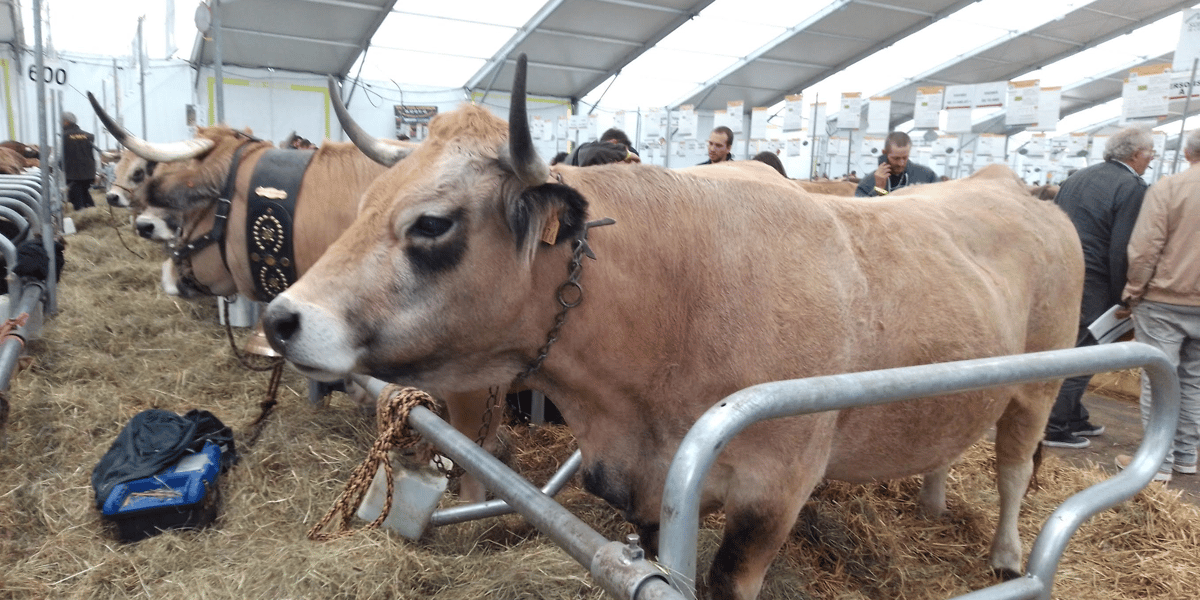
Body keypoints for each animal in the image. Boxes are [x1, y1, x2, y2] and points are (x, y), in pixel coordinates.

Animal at [261, 55, 1084, 599]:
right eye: (367, 202)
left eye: (432, 223)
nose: (281, 317)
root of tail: (1014, 187)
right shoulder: (647, 491)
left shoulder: (772, 493)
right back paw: (935, 501)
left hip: (1039, 384)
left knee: (1014, 466)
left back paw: (1009, 556)